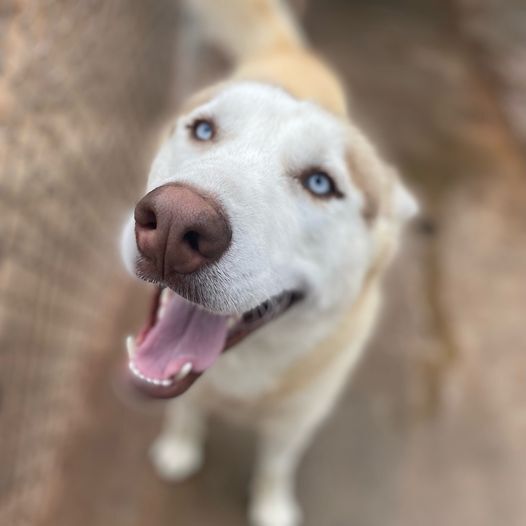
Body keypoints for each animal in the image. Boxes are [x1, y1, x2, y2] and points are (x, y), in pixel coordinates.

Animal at [120, 2, 420, 524]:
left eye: (321, 183)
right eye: (203, 130)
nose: (175, 224)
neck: (240, 371)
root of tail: (291, 51)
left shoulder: (295, 424)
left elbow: (276, 468)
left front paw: (273, 507)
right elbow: (185, 411)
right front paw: (179, 447)